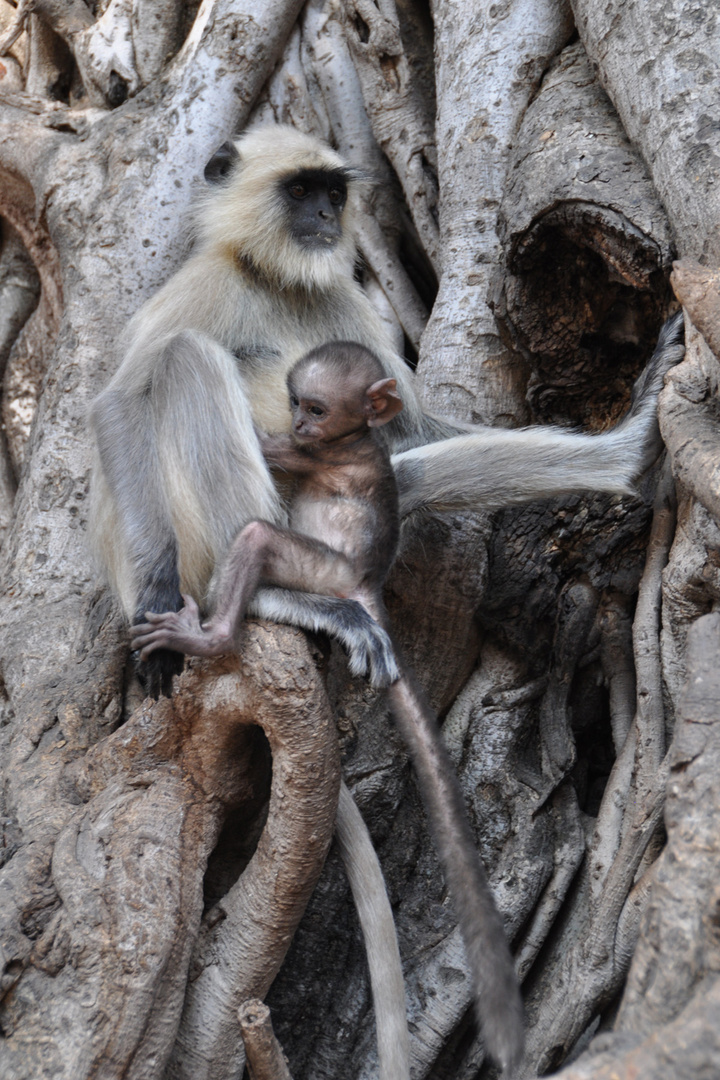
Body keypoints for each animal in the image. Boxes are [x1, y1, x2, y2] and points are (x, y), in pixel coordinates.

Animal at [132, 341, 524, 1075]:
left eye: (315, 408)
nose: (301, 423)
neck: (350, 438)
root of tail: (367, 582)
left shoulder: (316, 455)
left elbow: (270, 455)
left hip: (320, 568)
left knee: (258, 538)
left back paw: (214, 634)